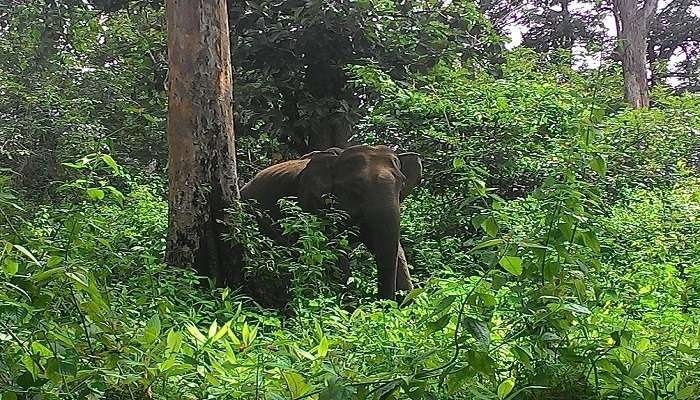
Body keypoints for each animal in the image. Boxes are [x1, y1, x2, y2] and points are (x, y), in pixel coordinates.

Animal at [241, 144, 422, 300]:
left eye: (402, 184)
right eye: (355, 188)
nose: (386, 304)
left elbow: (395, 249)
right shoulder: (312, 204)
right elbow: (335, 251)